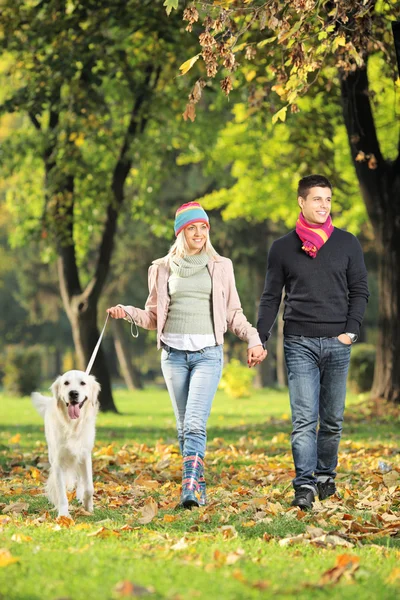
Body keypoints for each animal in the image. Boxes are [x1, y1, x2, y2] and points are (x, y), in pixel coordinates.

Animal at [31, 368, 101, 516]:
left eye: (83, 383)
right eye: (66, 383)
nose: (73, 393)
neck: (72, 425)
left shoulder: (85, 455)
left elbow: (89, 487)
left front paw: (88, 507)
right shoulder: (58, 462)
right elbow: (61, 493)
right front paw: (63, 515)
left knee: (81, 480)